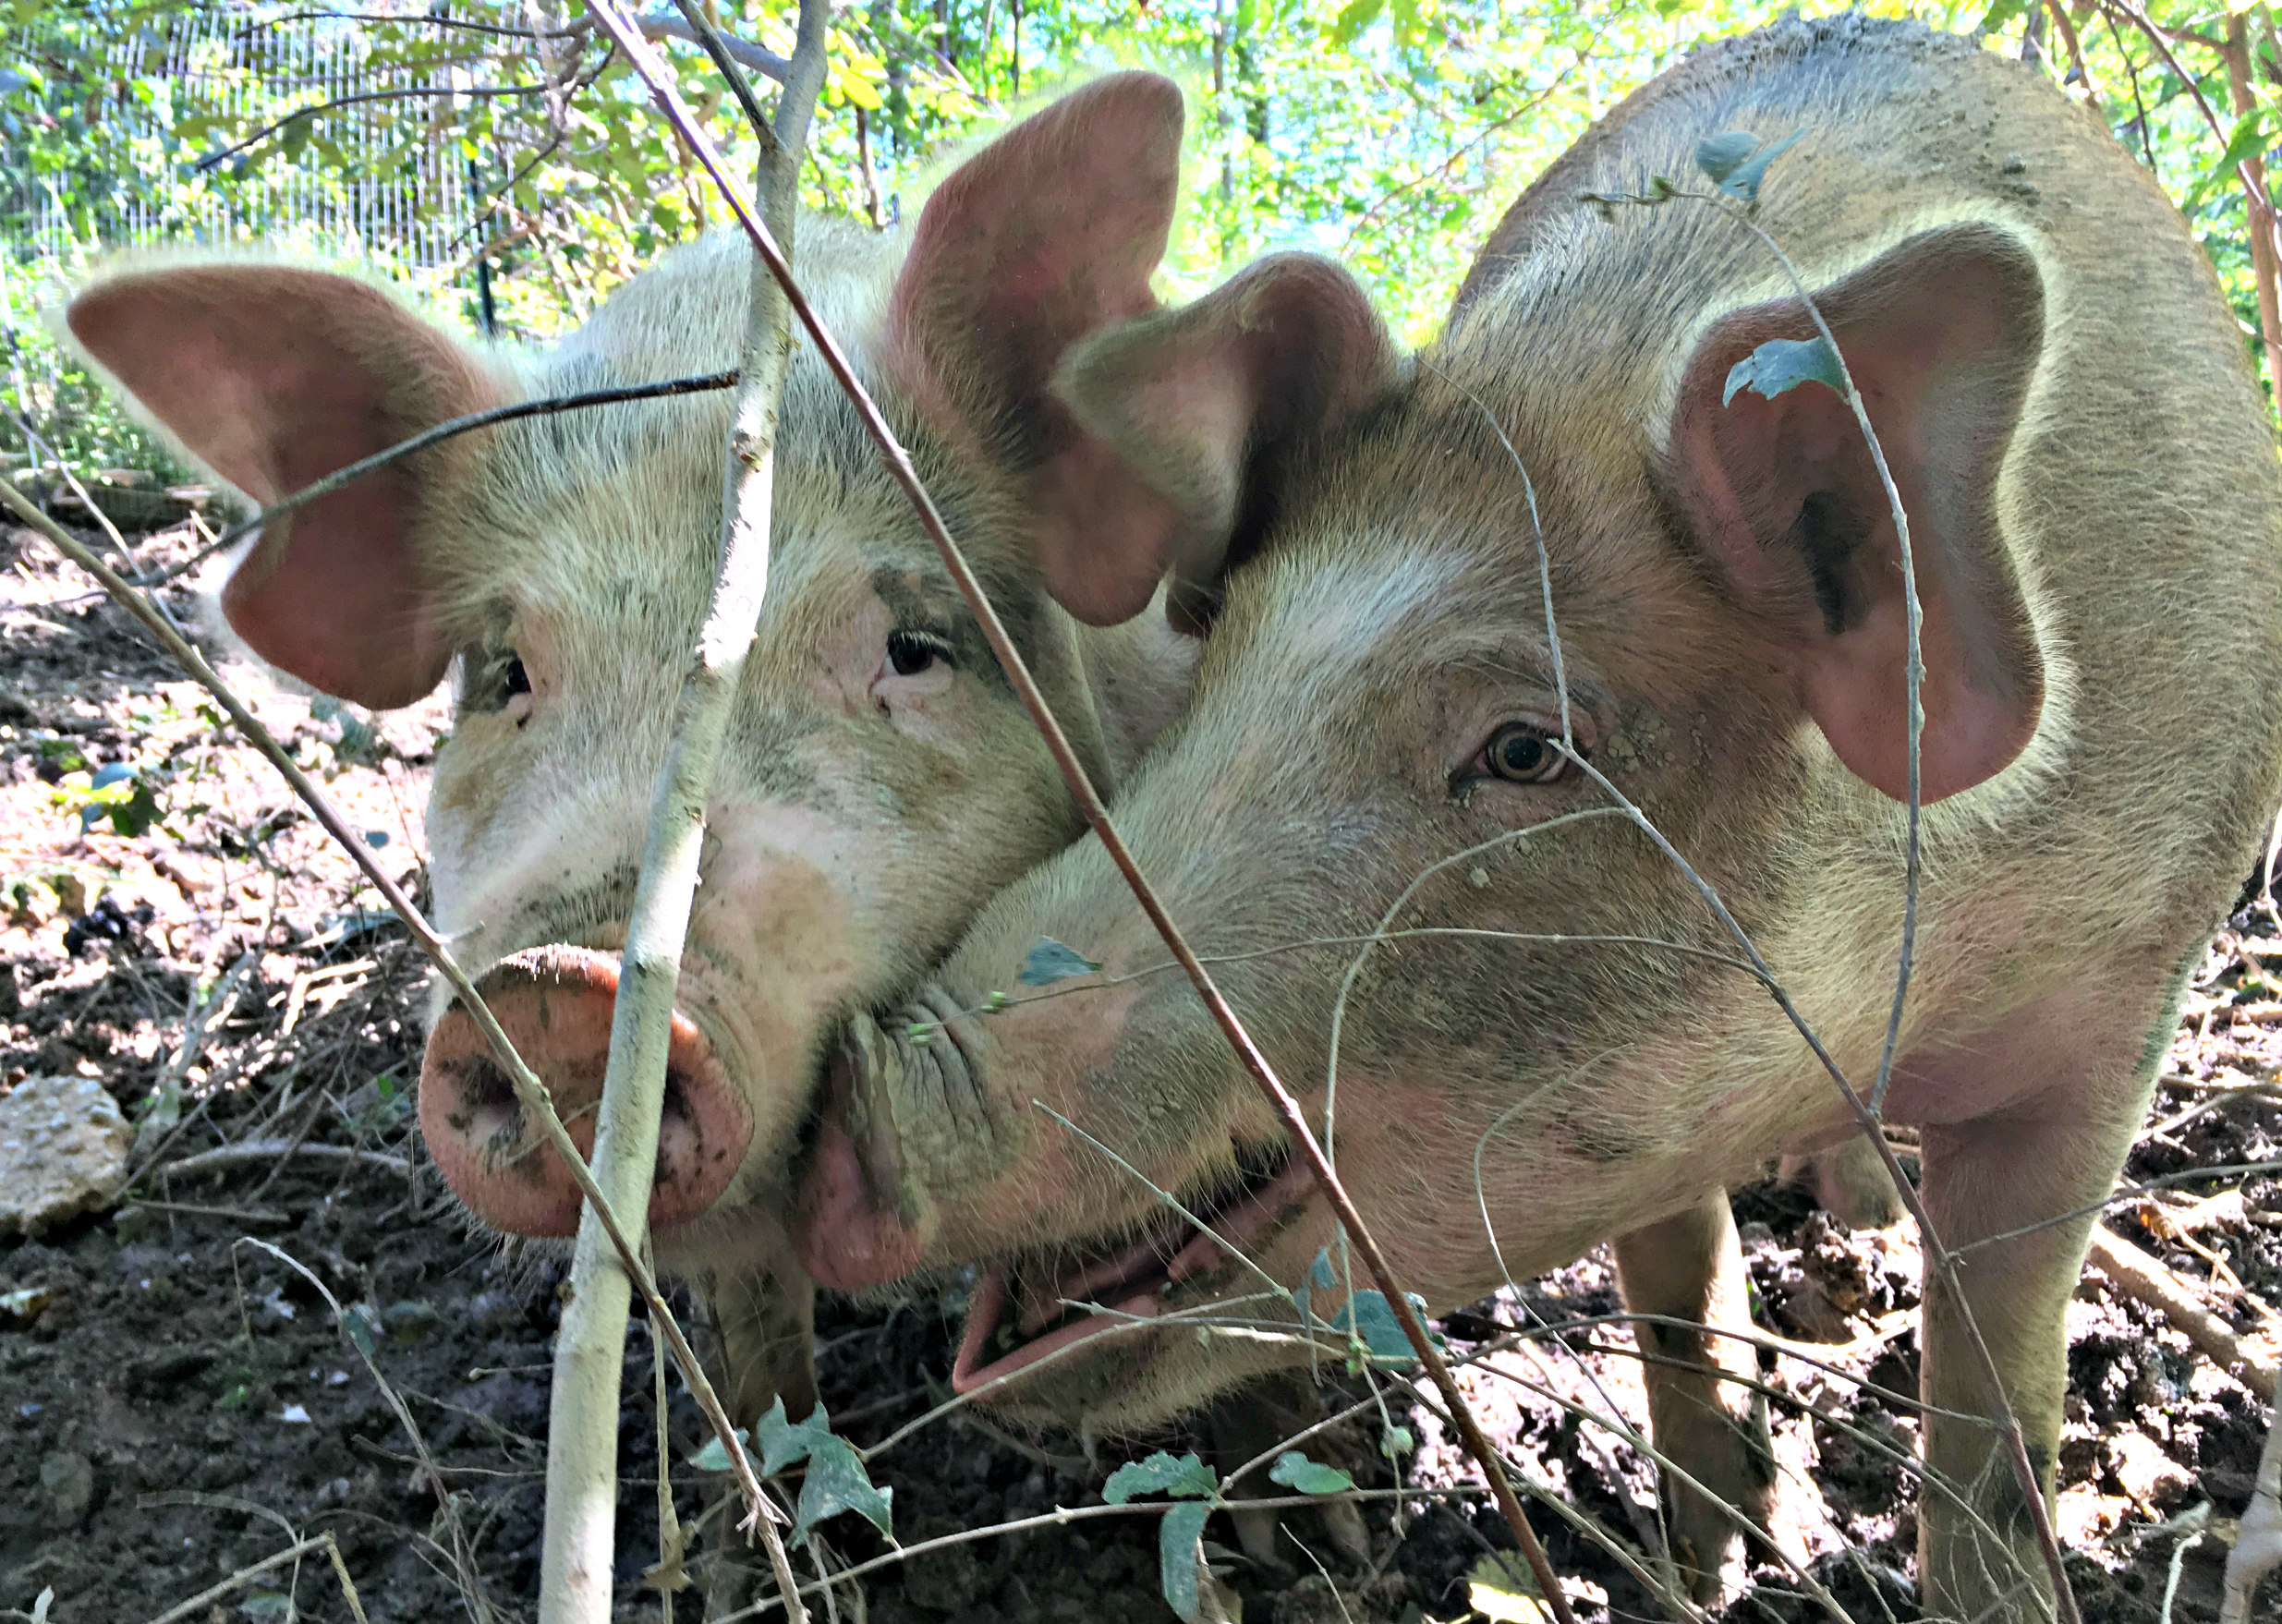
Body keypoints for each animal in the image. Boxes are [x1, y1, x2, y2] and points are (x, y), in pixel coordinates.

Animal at [790, 16, 2282, 1619]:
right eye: (1222, 664)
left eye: (1524, 750)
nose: (852, 1096)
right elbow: (1673, 1284)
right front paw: (1711, 1560)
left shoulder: (2123, 995)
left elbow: (1997, 1398)